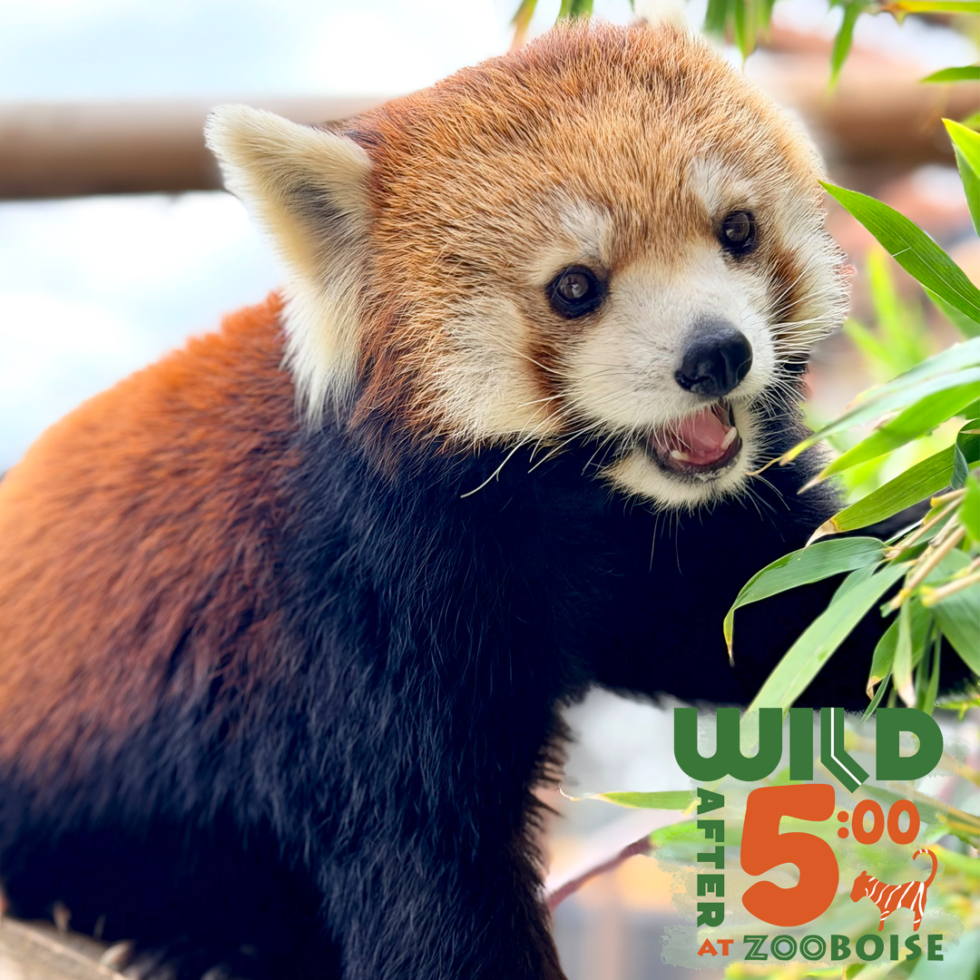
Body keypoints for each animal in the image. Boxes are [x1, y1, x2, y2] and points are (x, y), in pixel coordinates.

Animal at [0, 20, 948, 980]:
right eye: (576, 286)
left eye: (738, 229)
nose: (716, 354)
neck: (571, 503)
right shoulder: (350, 607)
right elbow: (425, 868)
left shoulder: (679, 549)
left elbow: (800, 614)